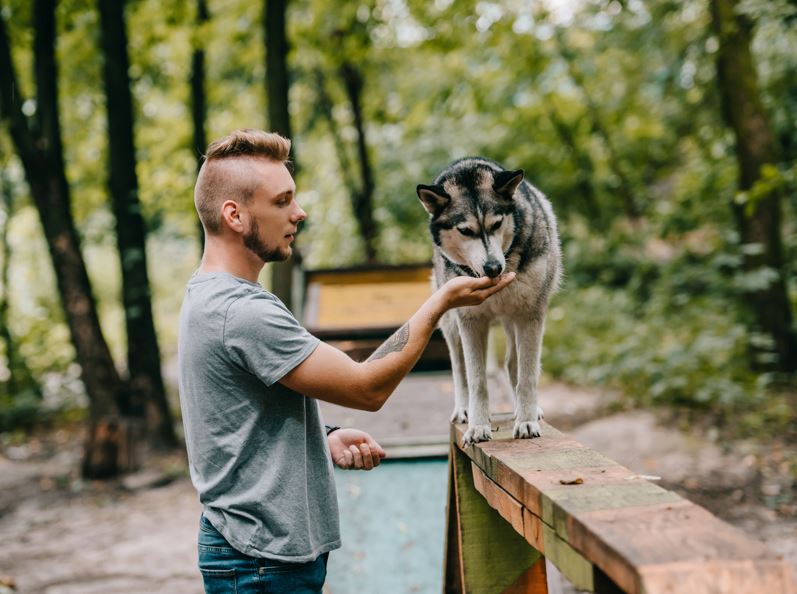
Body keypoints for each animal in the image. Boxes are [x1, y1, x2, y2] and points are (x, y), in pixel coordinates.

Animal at [416, 157, 560, 444]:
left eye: (496, 224)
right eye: (465, 230)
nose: (493, 268)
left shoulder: (530, 315)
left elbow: (527, 374)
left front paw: (526, 421)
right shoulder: (471, 321)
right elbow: (477, 380)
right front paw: (478, 426)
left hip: (514, 321)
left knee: (513, 363)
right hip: (451, 326)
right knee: (460, 369)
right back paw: (463, 410)